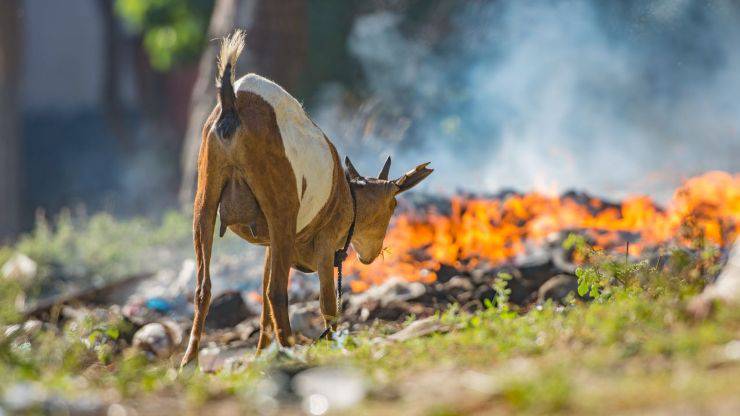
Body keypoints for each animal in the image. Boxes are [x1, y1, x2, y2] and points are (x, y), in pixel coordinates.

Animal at [181, 32, 434, 368]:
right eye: (393, 206)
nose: (370, 256)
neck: (348, 198)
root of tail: (232, 103)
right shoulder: (325, 245)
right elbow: (327, 304)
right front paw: (334, 344)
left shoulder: (272, 245)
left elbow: (263, 301)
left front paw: (261, 354)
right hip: (281, 208)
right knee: (277, 292)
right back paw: (289, 349)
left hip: (206, 197)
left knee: (204, 287)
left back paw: (189, 363)